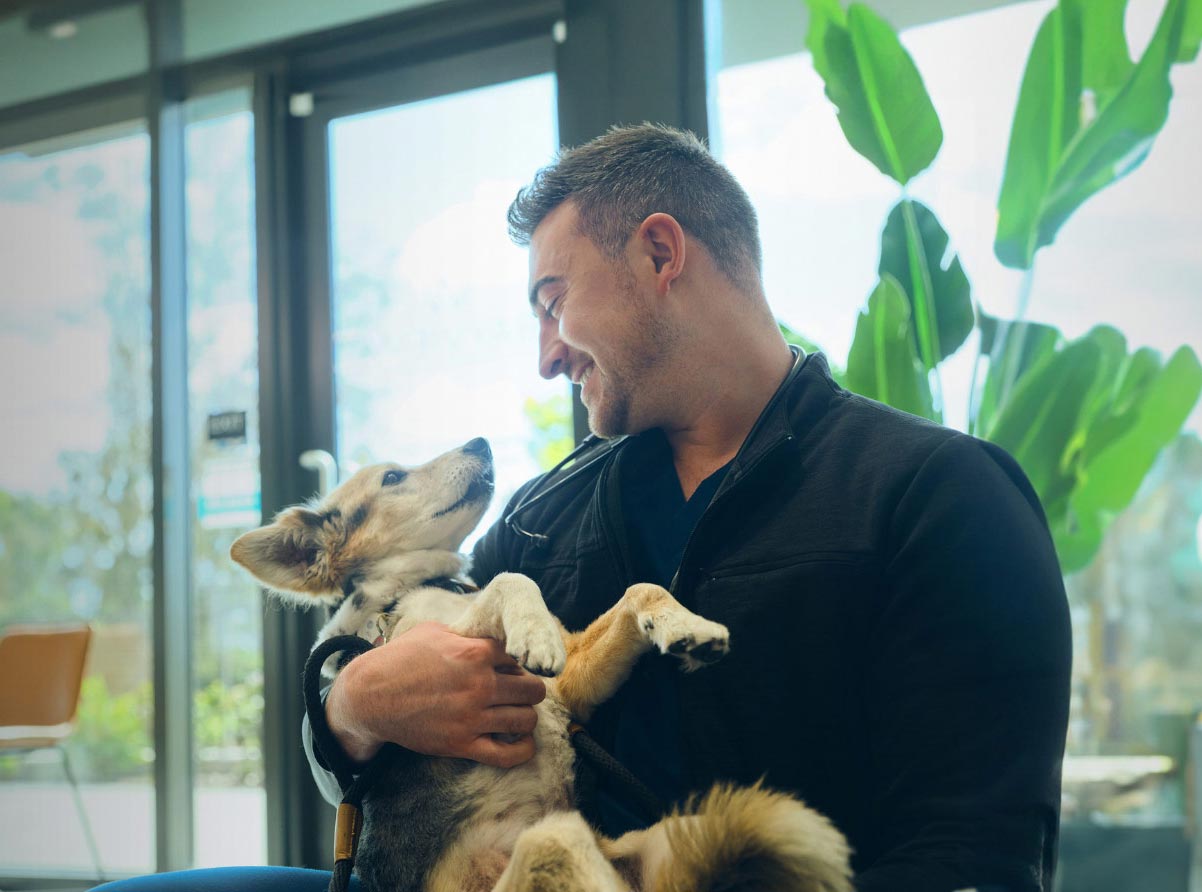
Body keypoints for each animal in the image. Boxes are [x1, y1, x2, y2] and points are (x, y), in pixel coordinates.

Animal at [231, 439, 855, 892]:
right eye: (392, 479)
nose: (480, 442)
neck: (421, 585)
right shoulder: (439, 643)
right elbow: (512, 579)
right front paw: (532, 631)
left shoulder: (570, 687)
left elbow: (641, 589)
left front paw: (689, 629)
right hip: (549, 846)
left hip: (748, 823)